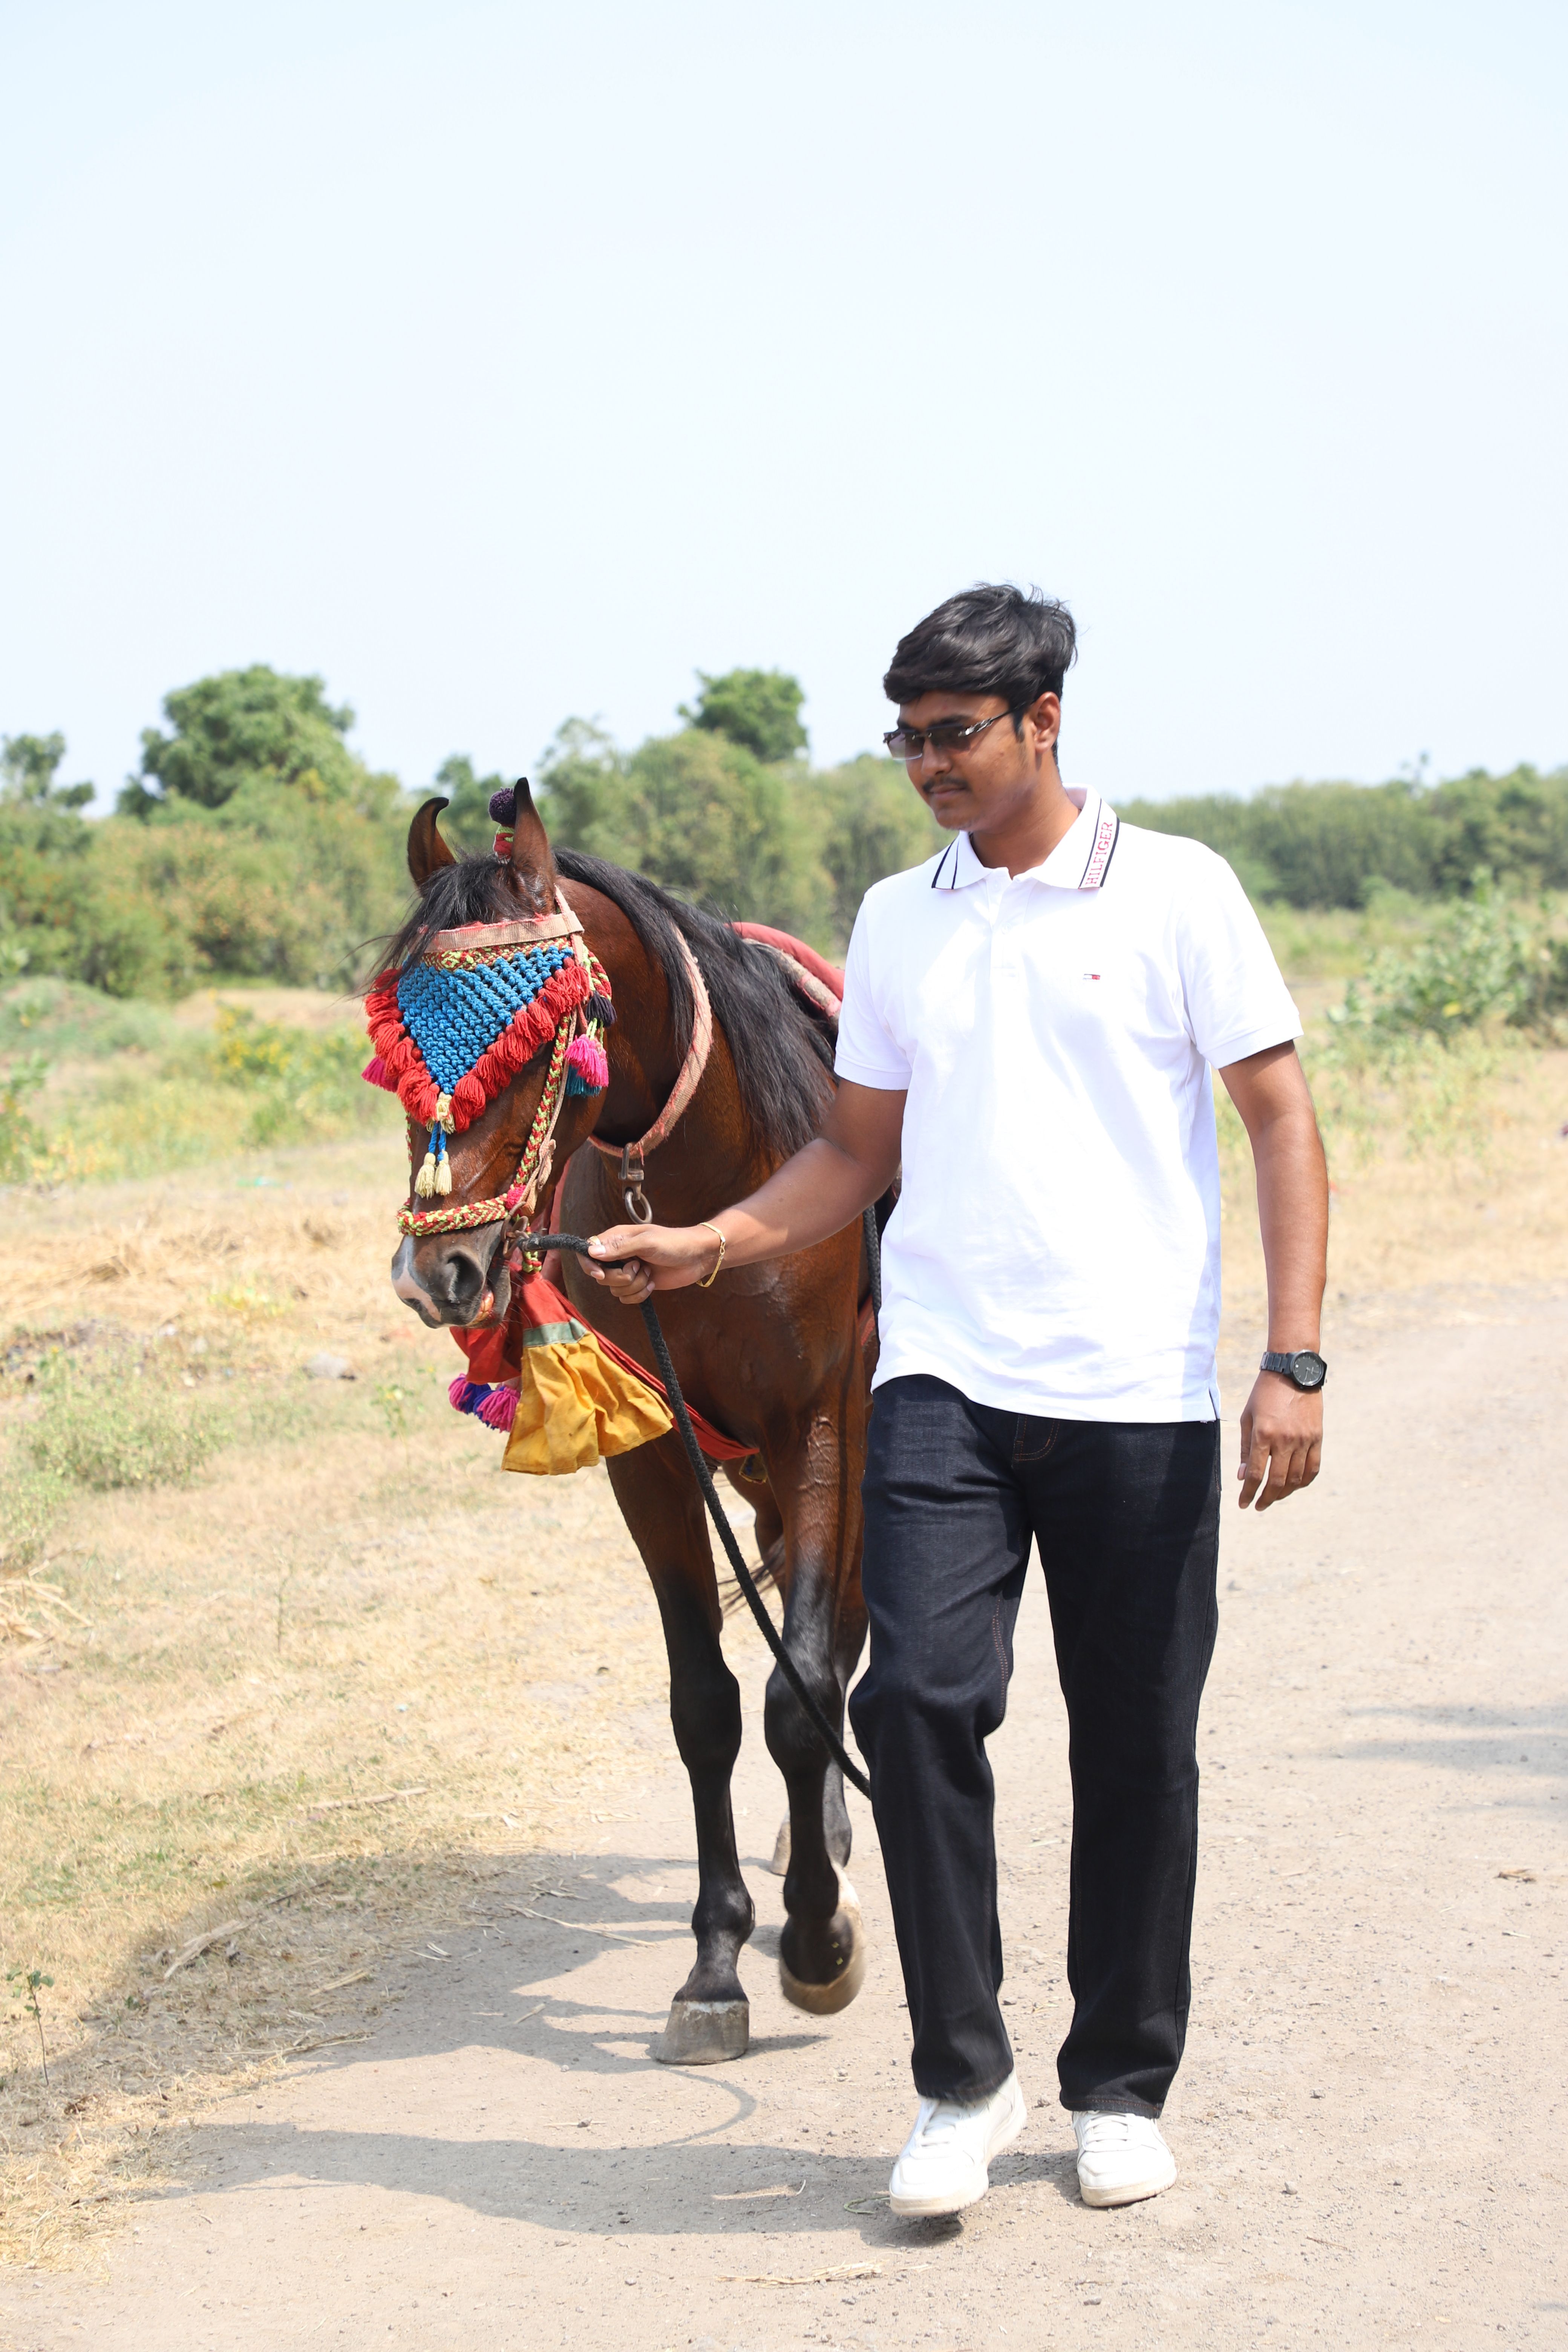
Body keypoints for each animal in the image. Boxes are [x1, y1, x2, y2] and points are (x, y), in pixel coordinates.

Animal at [382, 784, 875, 2064]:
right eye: (393, 1052)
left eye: (536, 1037)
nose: (438, 1271)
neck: (710, 1188)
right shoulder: (654, 1454)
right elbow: (705, 1703)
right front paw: (717, 1963)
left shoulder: (818, 1421)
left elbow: (800, 1685)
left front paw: (815, 1945)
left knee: (845, 1641)